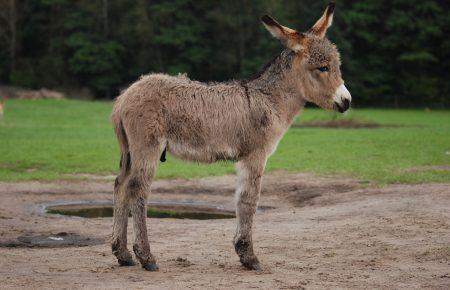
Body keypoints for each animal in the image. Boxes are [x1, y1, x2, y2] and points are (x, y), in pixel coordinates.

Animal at [110, 2, 350, 270]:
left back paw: (123, 254)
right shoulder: (255, 155)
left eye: (336, 66)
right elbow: (248, 199)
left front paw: (243, 251)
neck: (269, 100)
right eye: (322, 68)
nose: (347, 101)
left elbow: (241, 198)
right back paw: (146, 256)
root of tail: (125, 96)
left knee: (121, 185)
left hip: (129, 150)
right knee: (138, 188)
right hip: (147, 145)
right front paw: (249, 256)